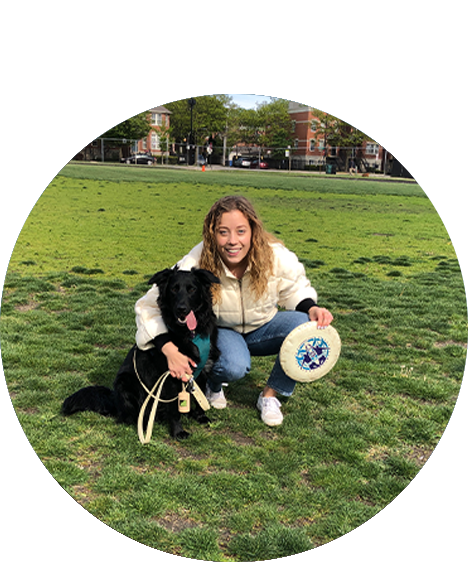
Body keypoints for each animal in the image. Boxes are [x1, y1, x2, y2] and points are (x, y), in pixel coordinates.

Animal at [62, 268, 220, 440]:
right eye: (173, 289)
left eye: (192, 289)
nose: (181, 309)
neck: (189, 333)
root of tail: (114, 400)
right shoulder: (171, 377)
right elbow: (174, 410)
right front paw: (178, 432)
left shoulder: (203, 371)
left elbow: (200, 399)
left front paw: (201, 417)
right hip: (125, 382)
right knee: (129, 417)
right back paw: (144, 423)